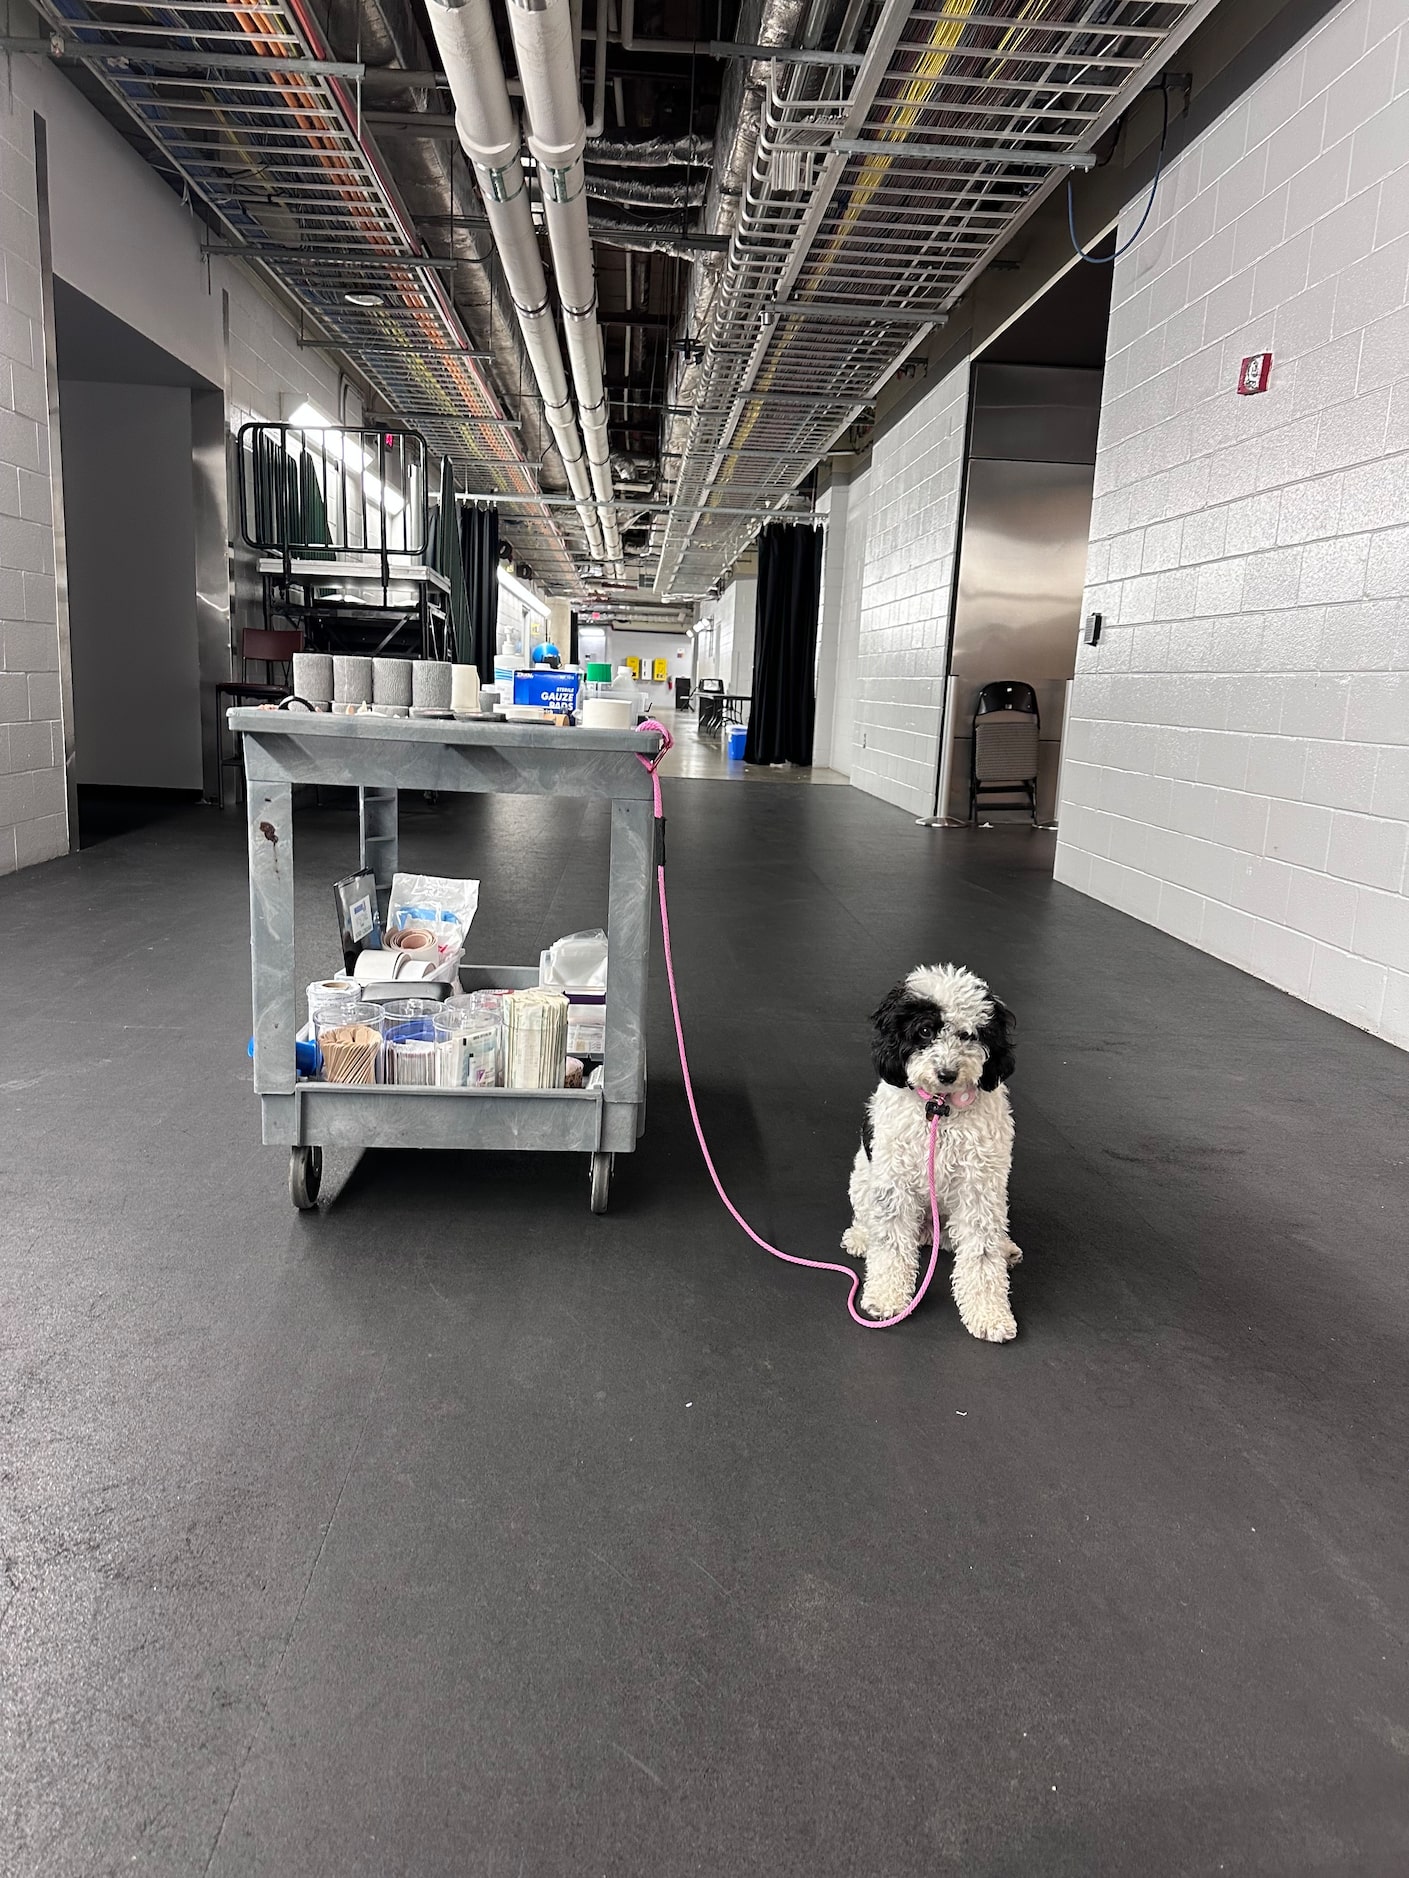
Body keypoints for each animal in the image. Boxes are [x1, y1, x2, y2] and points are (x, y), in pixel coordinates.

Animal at [845, 969, 1021, 1337]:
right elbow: (891, 1243)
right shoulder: (894, 1184)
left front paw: (990, 1314)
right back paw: (860, 1237)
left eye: (969, 1035)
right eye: (925, 1031)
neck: (940, 1108)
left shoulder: (980, 1189)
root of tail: (929, 1230)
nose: (947, 1074)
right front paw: (886, 1297)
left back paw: (1005, 1247)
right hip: (863, 1176)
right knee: (868, 1218)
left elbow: (983, 1255)